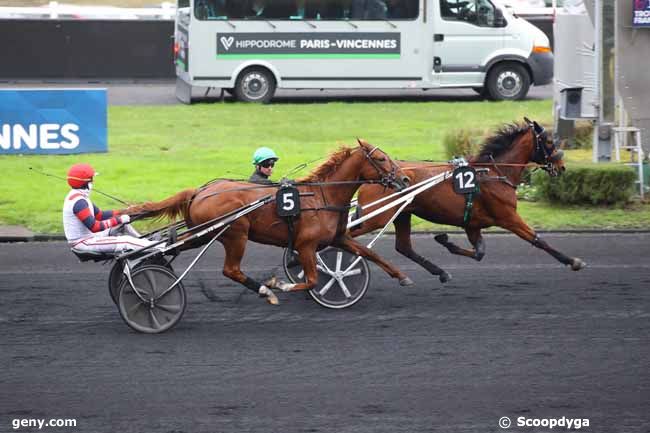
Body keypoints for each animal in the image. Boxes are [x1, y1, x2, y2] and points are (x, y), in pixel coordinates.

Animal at [126, 139, 410, 304]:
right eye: (382, 159)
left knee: (171, 246)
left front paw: (402, 276)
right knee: (231, 270)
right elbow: (312, 279)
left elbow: (370, 254)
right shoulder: (306, 245)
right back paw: (265, 291)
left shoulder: (339, 238)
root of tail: (200, 191)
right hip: (235, 234)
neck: (322, 195)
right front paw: (281, 284)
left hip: (203, 234)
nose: (405, 179)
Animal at [346, 120, 584, 282]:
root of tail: (369, 178)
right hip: (377, 217)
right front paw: (572, 261)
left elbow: (479, 253)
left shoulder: (473, 224)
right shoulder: (508, 217)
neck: (494, 173)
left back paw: (440, 272)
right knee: (346, 234)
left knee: (404, 247)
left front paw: (445, 240)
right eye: (549, 142)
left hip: (402, 213)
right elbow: (538, 240)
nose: (562, 166)